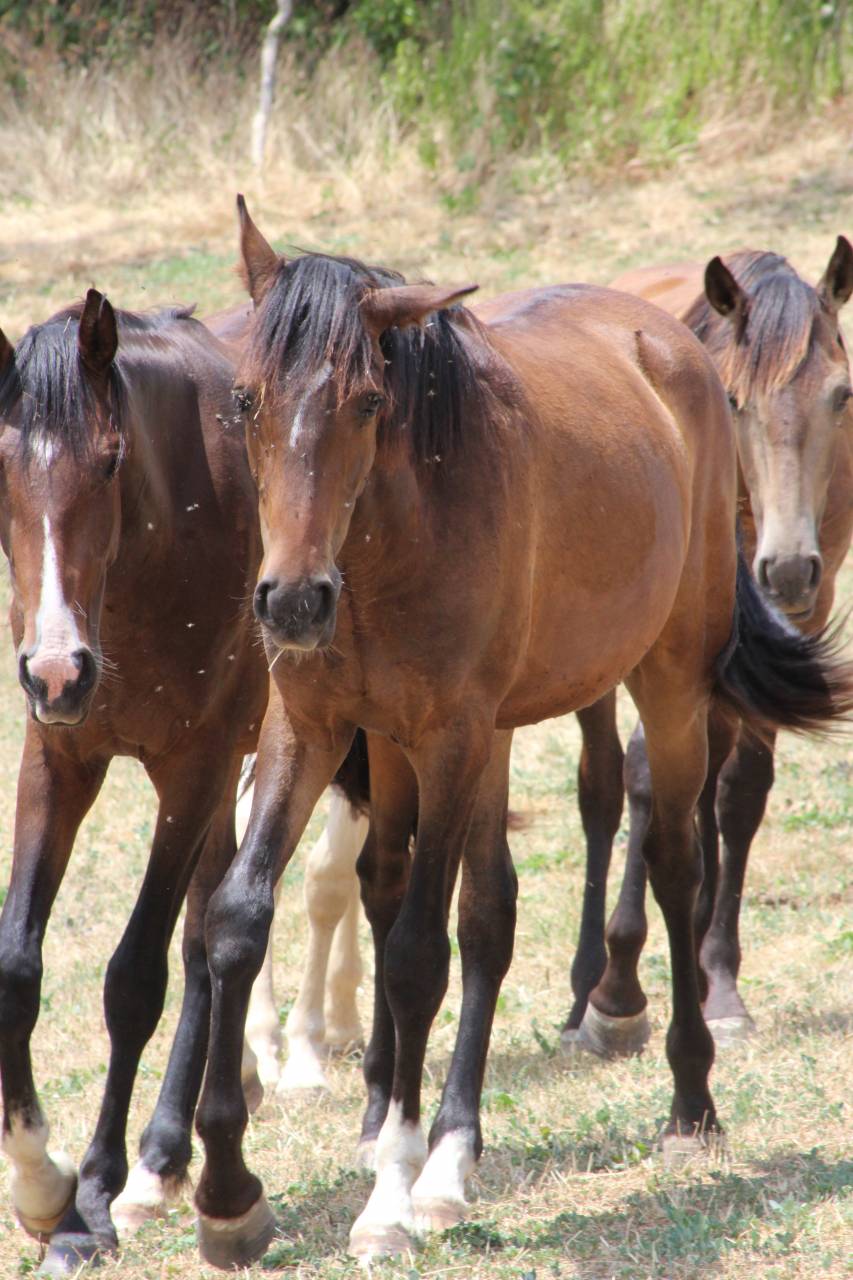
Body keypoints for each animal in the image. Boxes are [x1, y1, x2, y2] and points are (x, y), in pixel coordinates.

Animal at [562, 239, 853, 1056]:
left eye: (842, 396)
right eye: (733, 400)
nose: (785, 567)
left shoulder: (798, 613)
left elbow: (738, 791)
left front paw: (718, 983)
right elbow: (637, 779)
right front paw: (615, 993)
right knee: (601, 788)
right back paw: (584, 987)